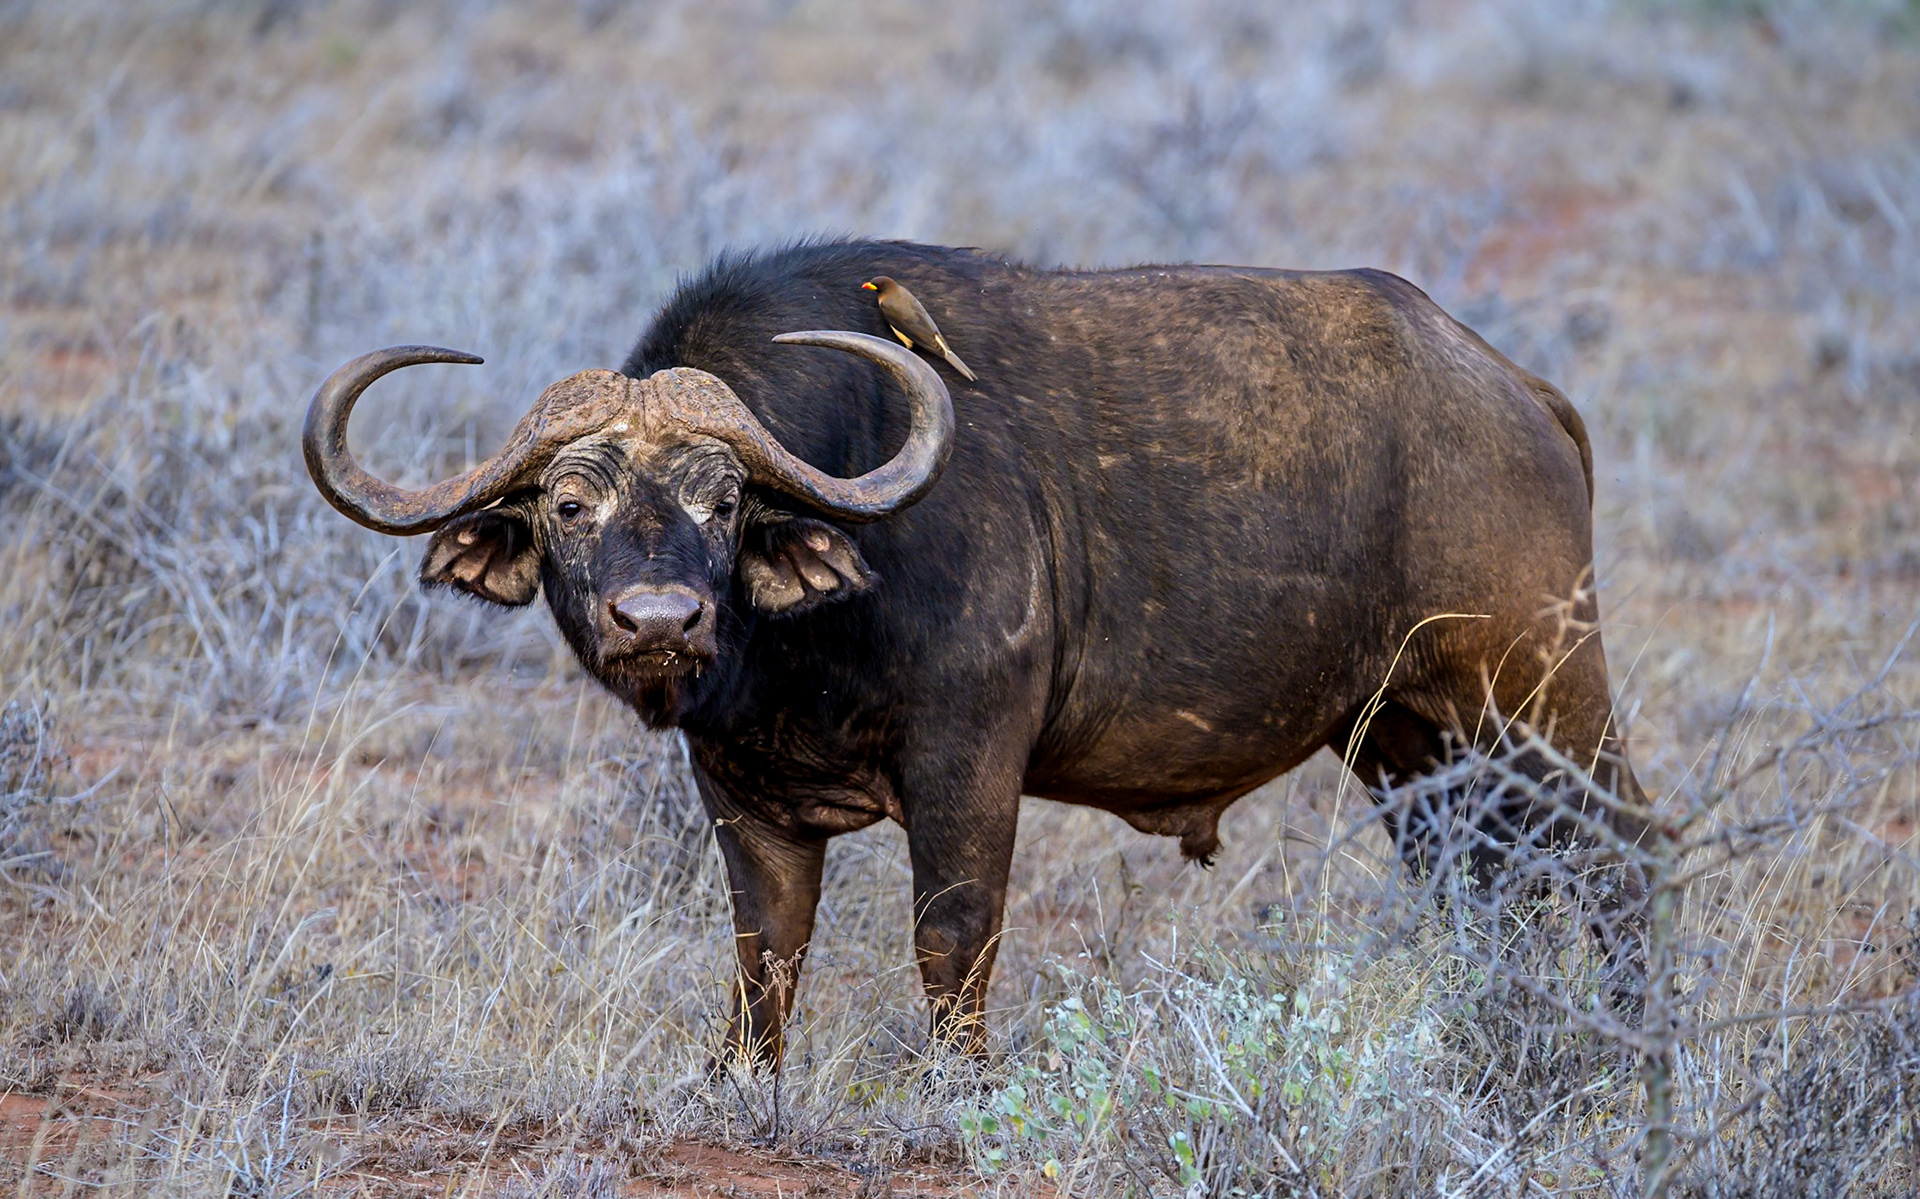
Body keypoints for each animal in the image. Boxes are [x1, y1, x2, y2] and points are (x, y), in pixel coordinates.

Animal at [305, 240, 1649, 1065]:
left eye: (724, 502)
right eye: (569, 503)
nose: (658, 620)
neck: (808, 639)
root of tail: (1517, 391)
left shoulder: (969, 765)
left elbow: (951, 940)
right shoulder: (741, 791)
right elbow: (764, 949)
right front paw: (737, 1078)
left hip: (1546, 695)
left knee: (1625, 854)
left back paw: (1637, 1053)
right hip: (1410, 741)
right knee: (1485, 883)